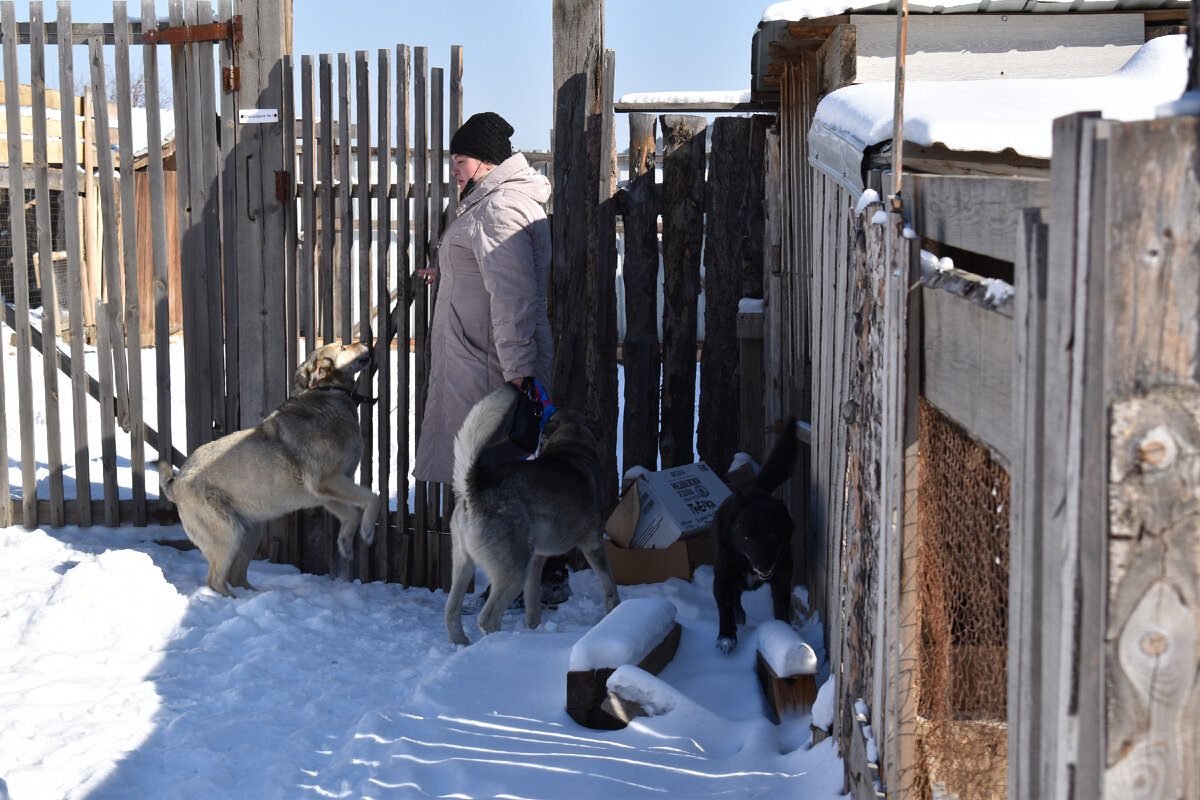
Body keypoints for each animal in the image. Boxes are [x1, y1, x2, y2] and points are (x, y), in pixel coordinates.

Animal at [158, 340, 374, 597]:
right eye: (343, 347)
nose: (366, 342)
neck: (327, 391)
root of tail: (176, 482)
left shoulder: (326, 492)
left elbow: (352, 513)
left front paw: (346, 545)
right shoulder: (327, 481)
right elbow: (374, 497)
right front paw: (368, 531)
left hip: (250, 534)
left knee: (236, 575)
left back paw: (256, 595)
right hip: (229, 534)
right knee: (215, 580)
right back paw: (233, 601)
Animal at [446, 383, 624, 647]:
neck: (571, 446)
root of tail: (473, 485)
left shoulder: (538, 558)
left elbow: (532, 603)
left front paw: (534, 629)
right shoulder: (593, 543)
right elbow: (609, 582)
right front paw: (616, 609)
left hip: (464, 565)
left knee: (451, 610)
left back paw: (462, 644)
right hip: (513, 570)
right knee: (487, 618)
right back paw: (499, 643)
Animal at [710, 422, 796, 652]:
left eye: (773, 535)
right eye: (746, 538)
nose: (763, 567)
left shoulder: (782, 577)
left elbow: (781, 607)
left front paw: (783, 634)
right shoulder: (722, 578)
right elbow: (725, 607)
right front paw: (726, 636)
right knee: (734, 599)